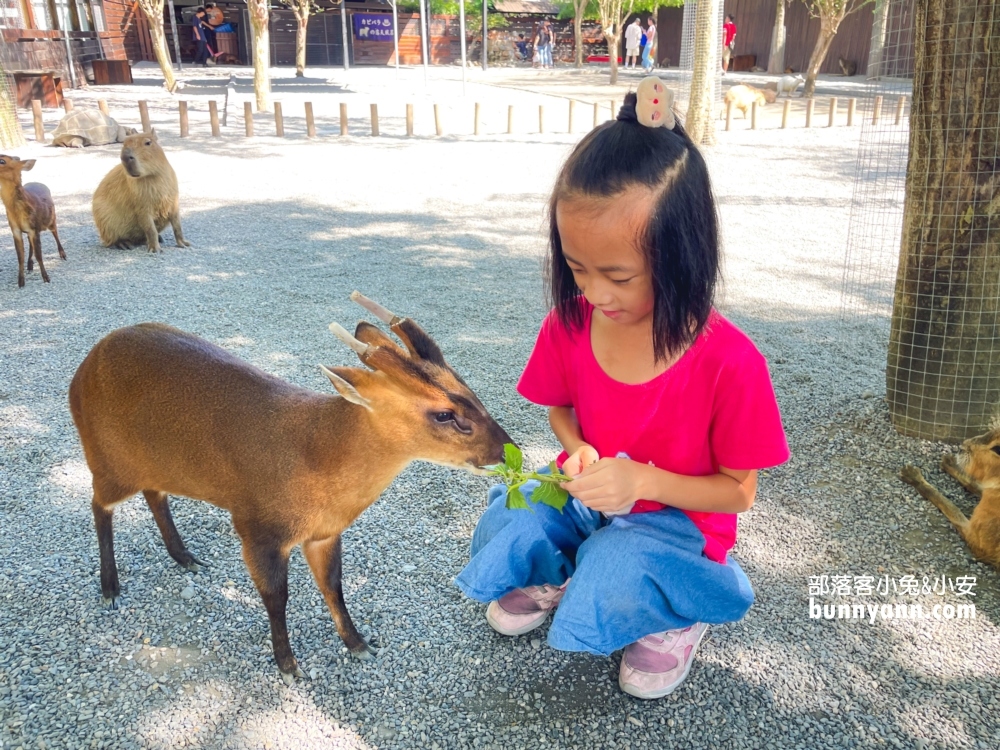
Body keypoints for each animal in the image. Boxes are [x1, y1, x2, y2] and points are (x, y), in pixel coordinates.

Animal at [0, 155, 67, 288]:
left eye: (2, 161)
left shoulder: (34, 228)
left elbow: (39, 255)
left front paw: (46, 278)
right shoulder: (16, 229)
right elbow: (20, 256)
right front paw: (21, 282)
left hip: (51, 219)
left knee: (55, 233)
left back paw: (63, 254)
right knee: (31, 243)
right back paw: (30, 265)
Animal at [68, 294, 516, 680]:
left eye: (469, 388)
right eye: (444, 413)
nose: (506, 449)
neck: (315, 460)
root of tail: (82, 369)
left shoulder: (324, 533)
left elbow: (334, 587)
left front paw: (358, 644)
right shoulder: (257, 527)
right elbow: (276, 598)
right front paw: (288, 665)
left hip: (150, 465)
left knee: (154, 493)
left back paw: (186, 558)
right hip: (106, 458)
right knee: (98, 504)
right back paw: (110, 587)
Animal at [900, 428, 1000, 568]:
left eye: (998, 449)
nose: (962, 446)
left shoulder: (978, 542)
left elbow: (950, 506)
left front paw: (915, 478)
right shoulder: (986, 491)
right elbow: (972, 483)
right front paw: (951, 463)